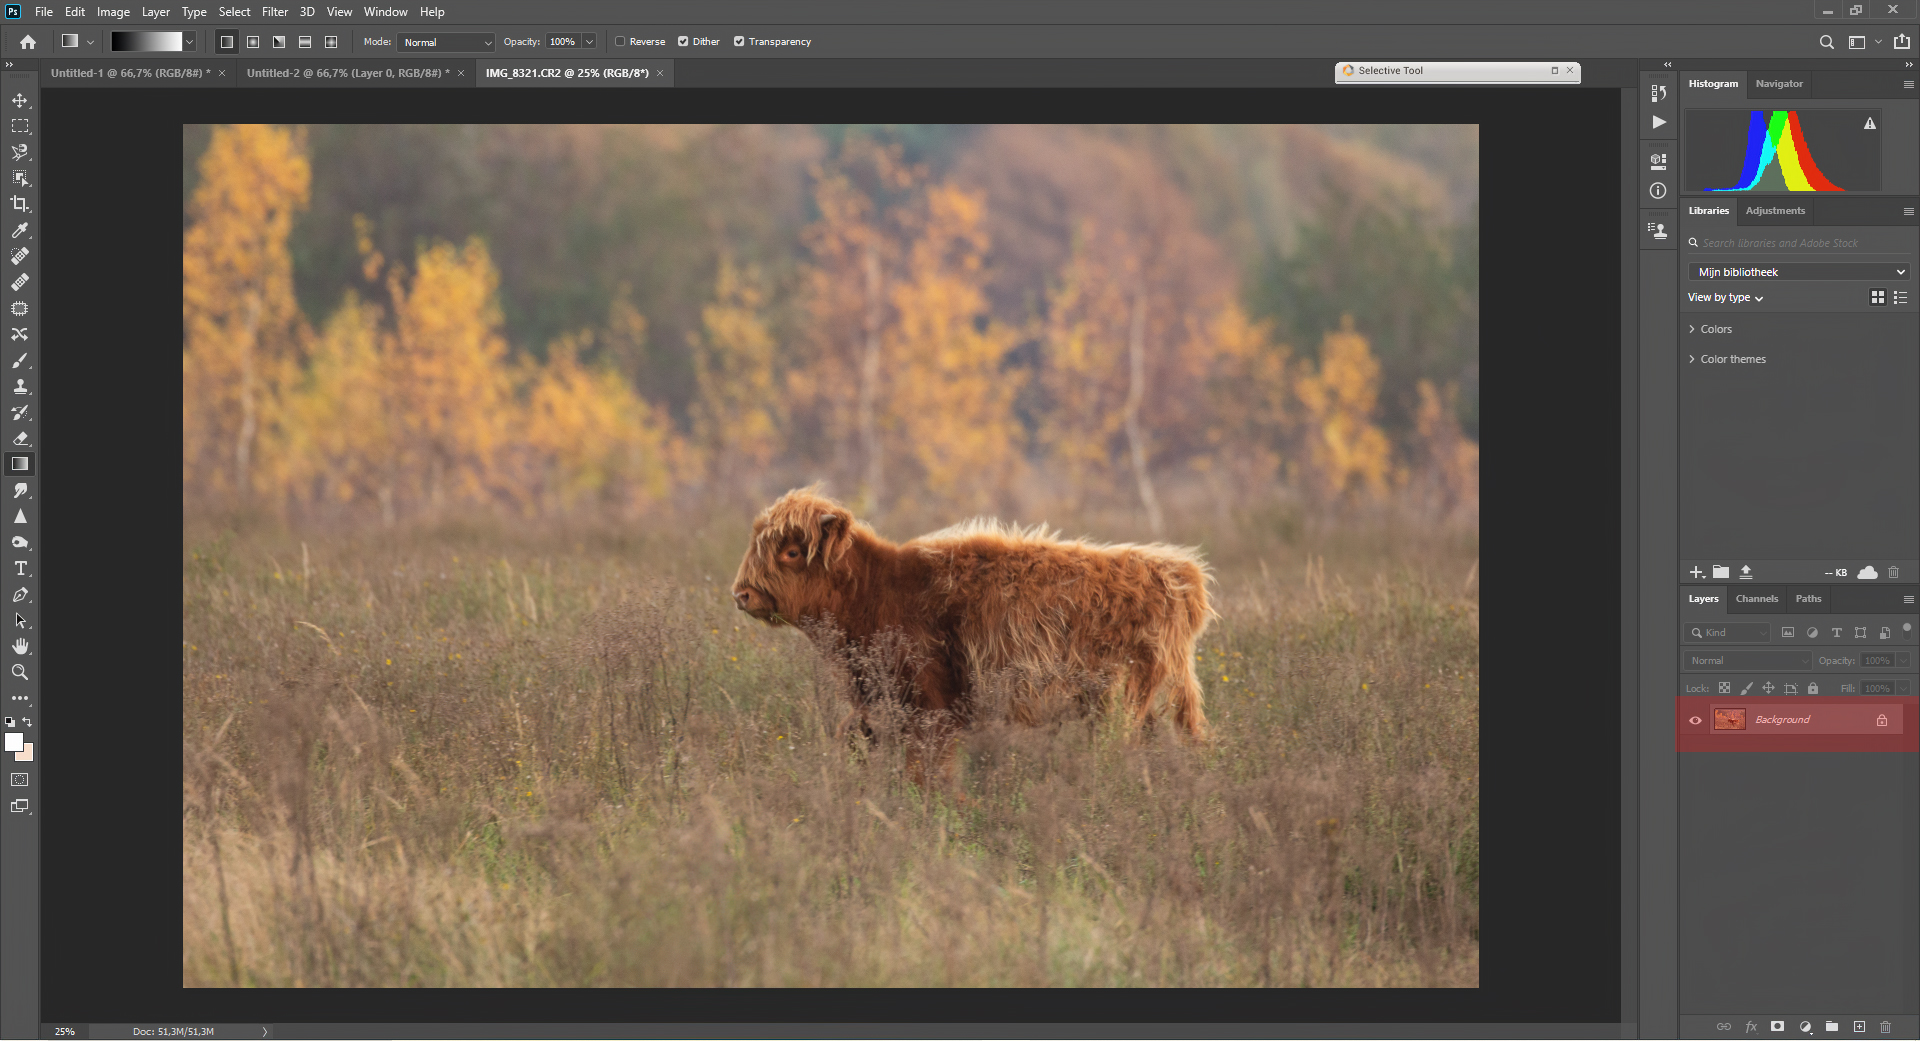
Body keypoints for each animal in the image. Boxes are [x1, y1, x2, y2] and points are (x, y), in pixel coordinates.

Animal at [725, 489, 1205, 752]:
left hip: (1119, 702)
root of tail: (1179, 574)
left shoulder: (928, 704)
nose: (741, 594)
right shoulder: (877, 703)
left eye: (791, 551)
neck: (877, 591)